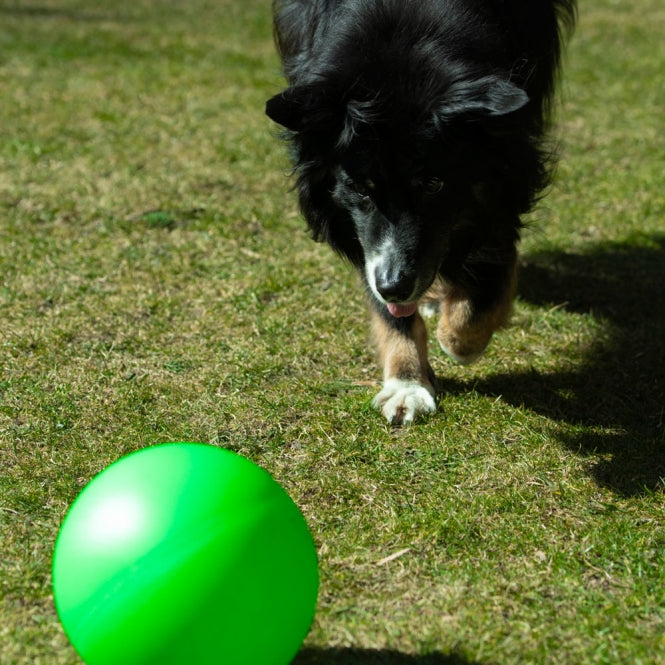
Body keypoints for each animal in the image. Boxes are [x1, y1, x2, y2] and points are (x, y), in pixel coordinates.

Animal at [268, 0, 572, 422]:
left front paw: (459, 335)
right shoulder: (362, 236)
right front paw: (407, 383)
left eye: (432, 184)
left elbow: (489, 260)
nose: (395, 285)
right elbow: (386, 304)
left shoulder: (510, 155)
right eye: (359, 188)